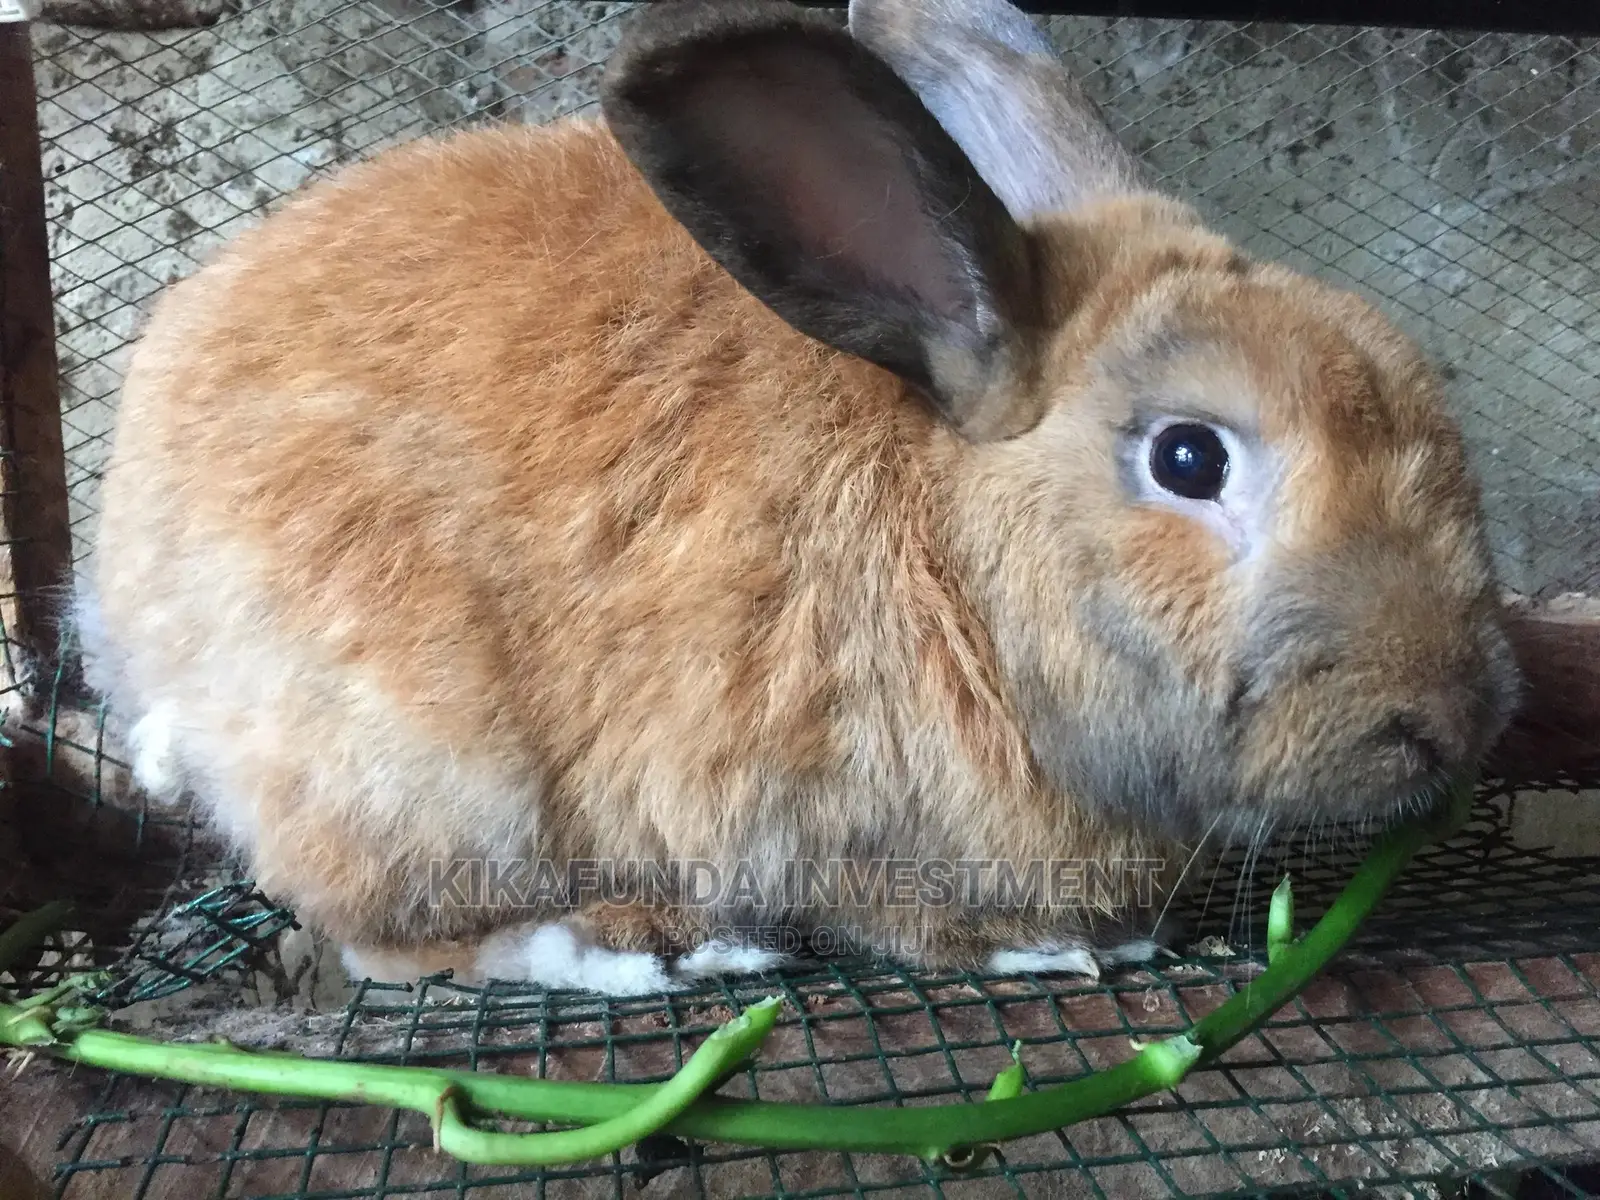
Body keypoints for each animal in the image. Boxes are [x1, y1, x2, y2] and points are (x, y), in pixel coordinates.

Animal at [76, 0, 1522, 996]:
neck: (963, 562)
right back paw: (648, 950)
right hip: (426, 777)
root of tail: (127, 614)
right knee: (387, 943)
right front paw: (1060, 953)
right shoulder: (831, 831)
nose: (1456, 717)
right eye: (1188, 461)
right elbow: (920, 925)